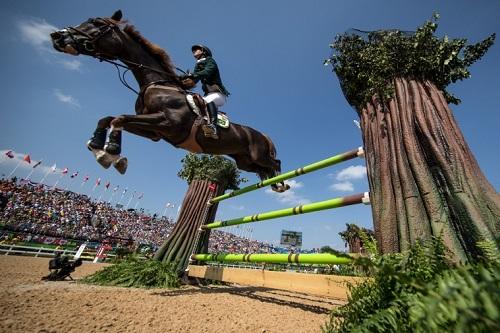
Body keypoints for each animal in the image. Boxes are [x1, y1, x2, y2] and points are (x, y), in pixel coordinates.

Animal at [49, 9, 290, 192]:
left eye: (97, 23)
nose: (57, 37)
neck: (156, 83)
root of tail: (263, 135)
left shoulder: (168, 124)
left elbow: (118, 119)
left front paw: (112, 153)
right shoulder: (153, 132)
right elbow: (108, 118)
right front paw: (100, 148)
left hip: (258, 154)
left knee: (275, 162)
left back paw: (282, 182)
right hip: (244, 161)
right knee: (262, 170)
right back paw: (273, 183)